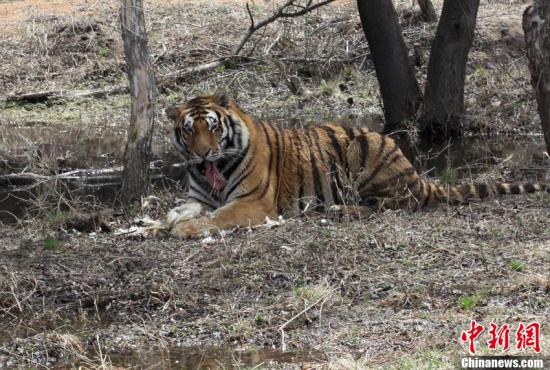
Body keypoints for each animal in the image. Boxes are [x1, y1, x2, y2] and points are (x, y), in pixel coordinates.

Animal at [157, 90, 548, 238]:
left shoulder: (253, 203)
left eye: (213, 127)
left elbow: (218, 217)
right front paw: (166, 222)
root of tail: (415, 172)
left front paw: (184, 229)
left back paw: (342, 211)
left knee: (391, 206)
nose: (202, 154)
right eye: (189, 130)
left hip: (366, 156)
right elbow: (181, 209)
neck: (215, 172)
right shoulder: (199, 197)